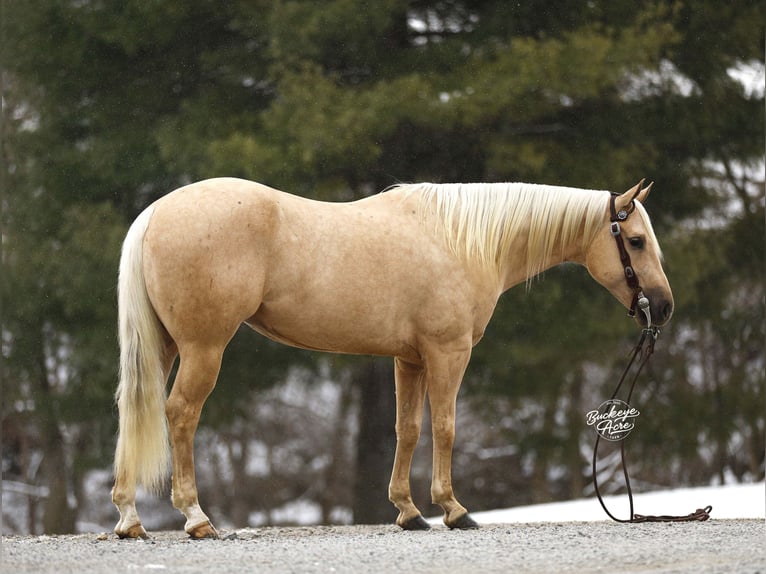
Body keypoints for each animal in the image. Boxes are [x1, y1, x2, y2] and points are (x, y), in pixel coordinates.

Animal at [111, 177, 672, 539]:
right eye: (636, 241)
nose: (663, 308)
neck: (461, 240)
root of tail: (155, 213)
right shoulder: (448, 352)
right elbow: (444, 426)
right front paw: (453, 509)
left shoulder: (411, 359)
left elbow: (408, 430)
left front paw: (408, 512)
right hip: (203, 349)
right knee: (180, 414)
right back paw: (196, 518)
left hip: (165, 348)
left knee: (133, 412)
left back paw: (129, 519)